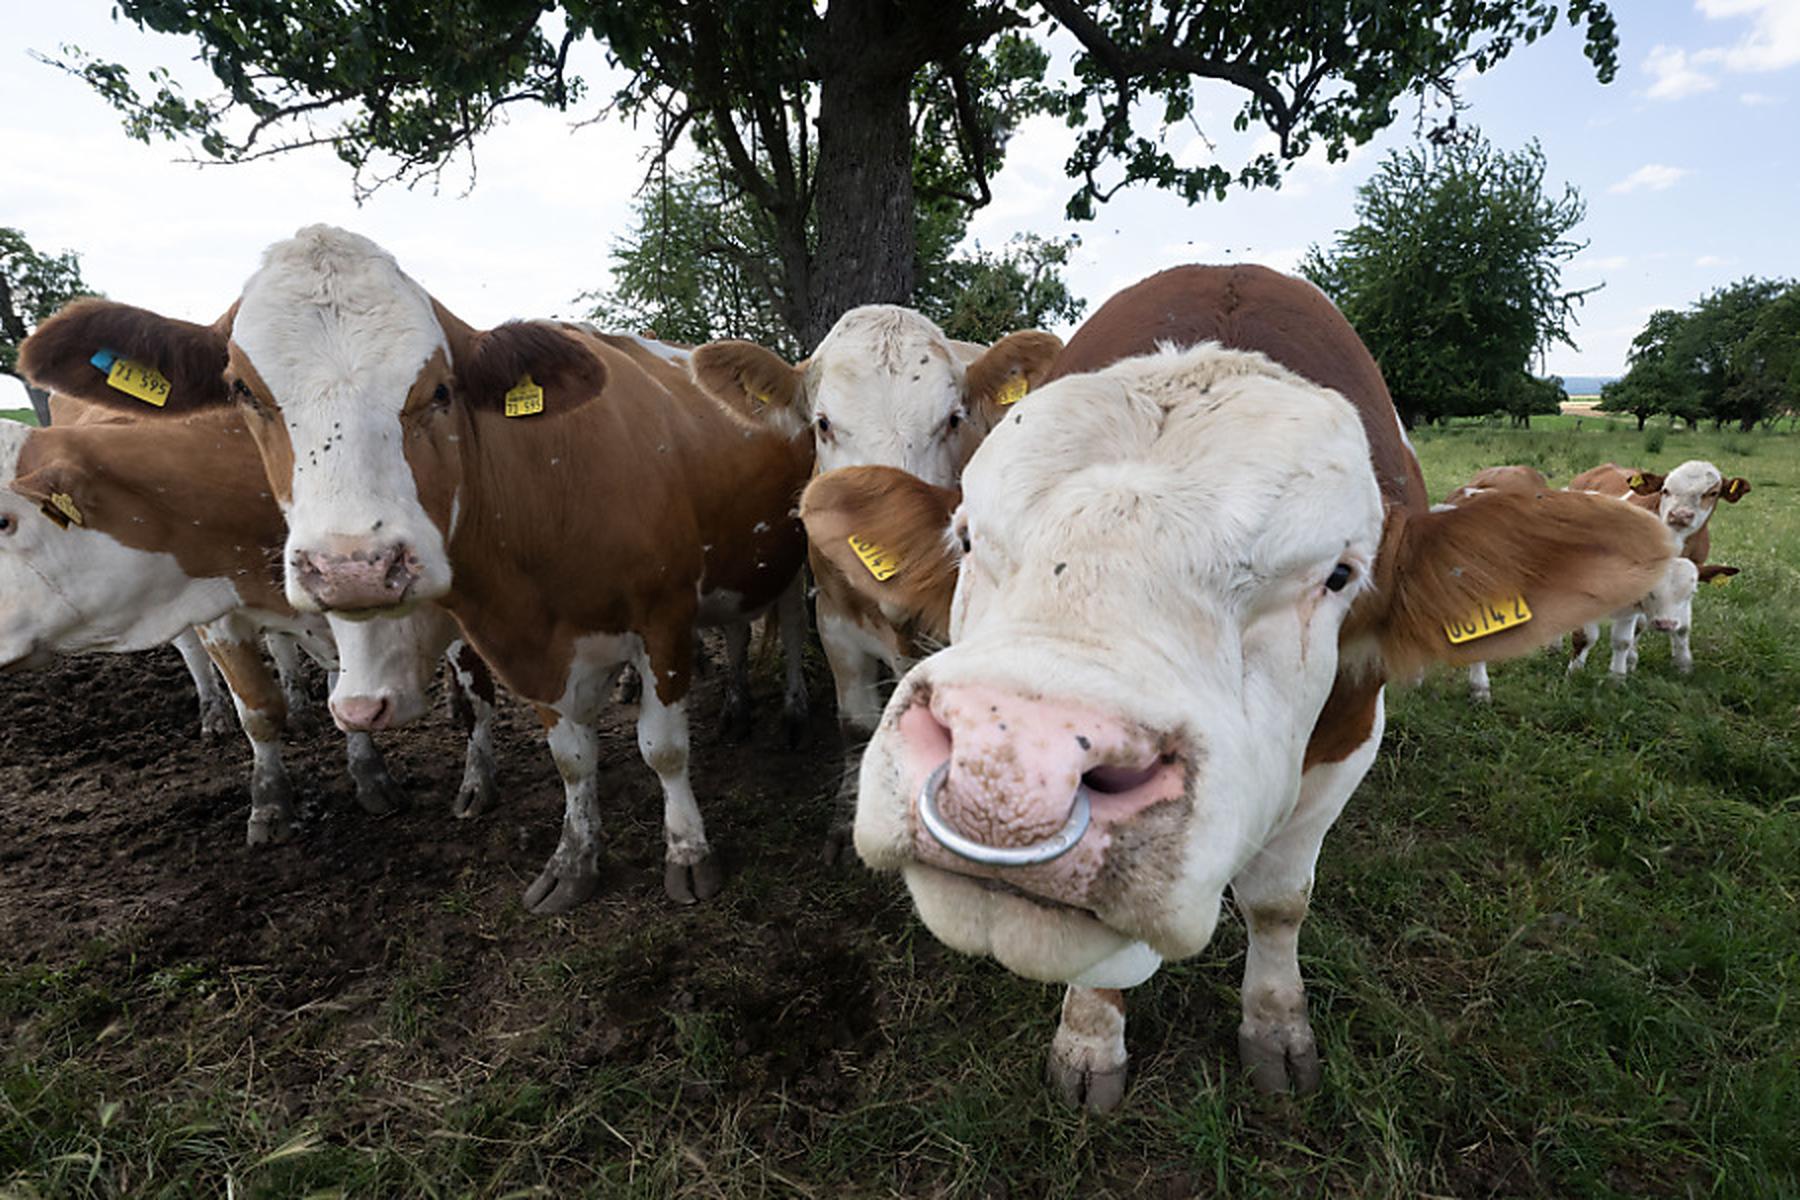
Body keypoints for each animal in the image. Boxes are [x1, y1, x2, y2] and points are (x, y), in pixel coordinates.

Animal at [0, 402, 500, 845]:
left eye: (4, 521)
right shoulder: (217, 611)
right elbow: (259, 710)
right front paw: (271, 805)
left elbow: (475, 695)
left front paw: (468, 783)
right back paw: (223, 712)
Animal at [795, 268, 1663, 1115]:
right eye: (968, 536)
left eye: (1339, 575)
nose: (1011, 770)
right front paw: (1090, 1040)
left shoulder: (1348, 746)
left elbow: (1280, 902)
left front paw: (1276, 1028)